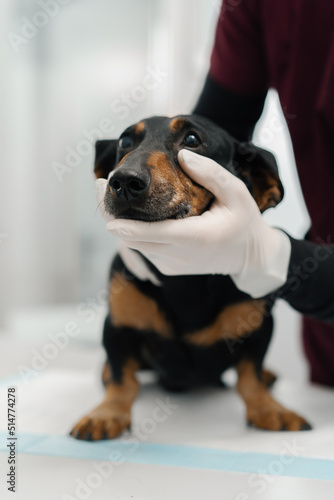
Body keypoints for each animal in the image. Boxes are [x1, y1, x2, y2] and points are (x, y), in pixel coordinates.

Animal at [70, 115, 310, 440]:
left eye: (193, 140)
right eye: (125, 141)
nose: (124, 181)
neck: (184, 278)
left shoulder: (261, 327)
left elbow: (250, 376)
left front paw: (269, 409)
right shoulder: (117, 326)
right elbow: (122, 379)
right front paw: (107, 413)